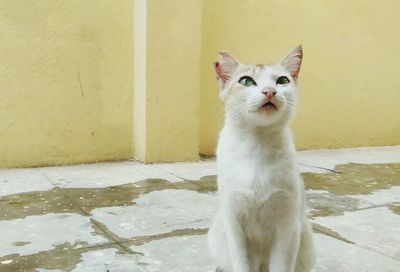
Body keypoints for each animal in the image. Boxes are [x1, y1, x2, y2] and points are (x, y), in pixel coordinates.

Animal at [206, 46, 316, 272]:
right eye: (246, 81)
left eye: (282, 81)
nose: (270, 91)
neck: (257, 144)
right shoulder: (235, 226)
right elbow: (241, 264)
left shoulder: (287, 227)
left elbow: (281, 266)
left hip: (307, 239)